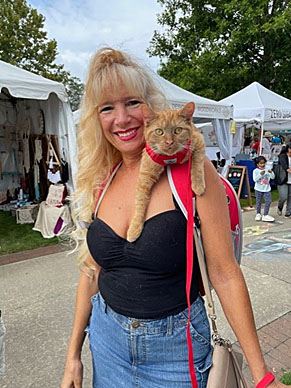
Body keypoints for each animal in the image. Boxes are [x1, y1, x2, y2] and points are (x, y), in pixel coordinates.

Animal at [127, 101, 205, 241]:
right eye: (159, 131)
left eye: (178, 130)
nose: (169, 142)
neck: (168, 158)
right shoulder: (144, 176)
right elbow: (139, 201)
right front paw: (135, 228)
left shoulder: (198, 141)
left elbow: (197, 163)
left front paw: (198, 185)